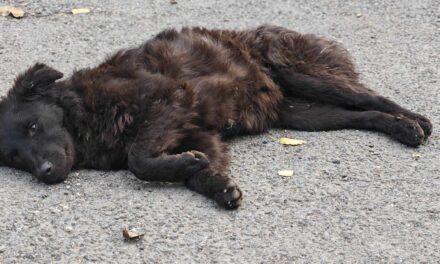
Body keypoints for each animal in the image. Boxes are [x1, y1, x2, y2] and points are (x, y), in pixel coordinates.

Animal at [0, 25, 434, 209]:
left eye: (34, 126)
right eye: (14, 158)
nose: (45, 173)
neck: (87, 109)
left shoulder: (171, 98)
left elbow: (139, 158)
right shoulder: (200, 134)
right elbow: (193, 170)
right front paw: (216, 185)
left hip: (307, 78)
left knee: (373, 96)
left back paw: (414, 123)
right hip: (306, 114)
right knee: (364, 114)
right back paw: (397, 128)